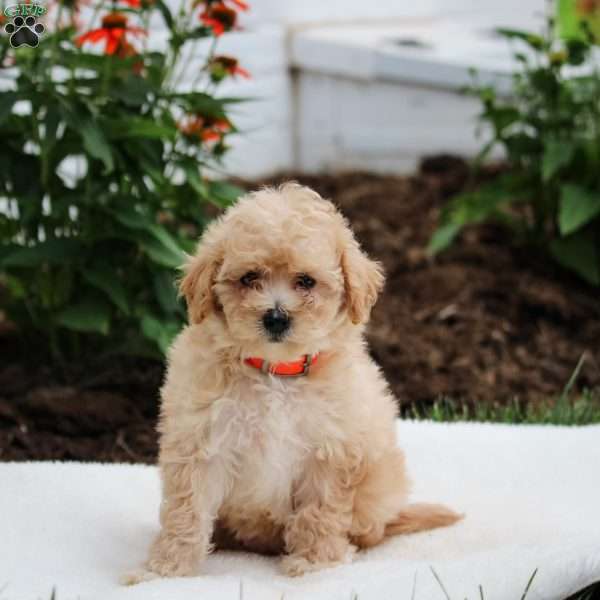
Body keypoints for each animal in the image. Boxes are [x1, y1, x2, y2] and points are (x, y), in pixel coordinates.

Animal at [123, 184, 460, 584]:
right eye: (249, 278)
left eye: (306, 282)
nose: (276, 317)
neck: (276, 372)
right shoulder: (200, 441)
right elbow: (186, 510)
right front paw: (167, 571)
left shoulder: (330, 449)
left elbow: (321, 510)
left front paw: (313, 563)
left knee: (370, 529)